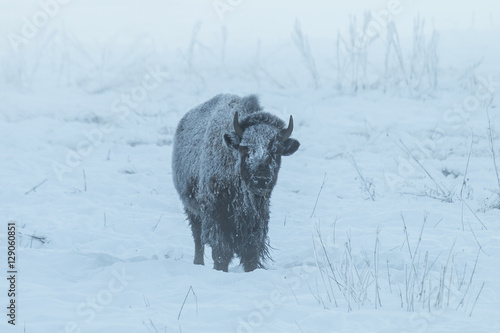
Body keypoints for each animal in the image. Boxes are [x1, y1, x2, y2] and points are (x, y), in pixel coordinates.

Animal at [172, 92, 298, 270]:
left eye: (276, 150)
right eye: (245, 148)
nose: (261, 180)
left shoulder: (257, 222)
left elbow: (251, 253)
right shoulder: (216, 217)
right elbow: (221, 252)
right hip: (191, 209)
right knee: (198, 238)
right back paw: (198, 263)